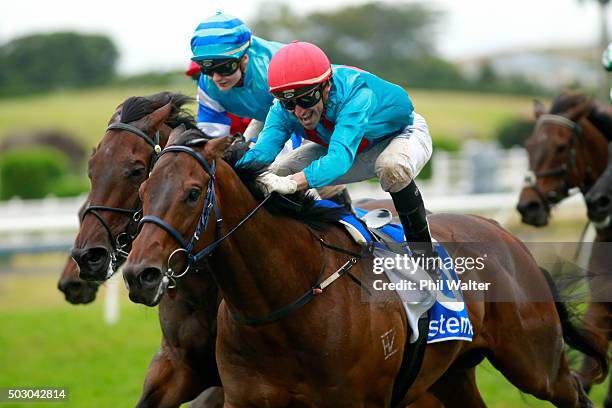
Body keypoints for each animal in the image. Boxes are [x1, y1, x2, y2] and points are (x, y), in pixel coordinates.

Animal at [124, 128, 608, 408]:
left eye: (191, 193)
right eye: (143, 190)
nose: (139, 274)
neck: (287, 303)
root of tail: (506, 236)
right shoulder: (242, 398)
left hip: (535, 363)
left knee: (573, 392)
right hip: (452, 376)